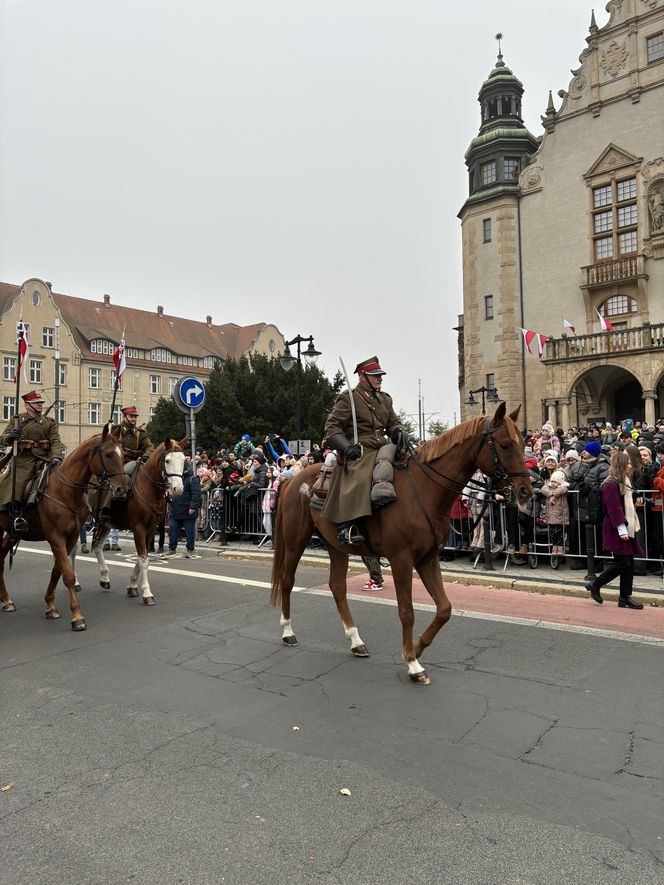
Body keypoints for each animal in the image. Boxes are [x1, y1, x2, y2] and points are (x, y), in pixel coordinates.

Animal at [0, 426, 127, 628]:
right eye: (108, 455)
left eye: (123, 455)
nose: (122, 490)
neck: (64, 490)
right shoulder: (55, 537)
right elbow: (67, 573)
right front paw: (77, 616)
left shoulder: (71, 537)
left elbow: (57, 570)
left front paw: (50, 606)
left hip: (12, 533)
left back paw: (6, 600)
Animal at [79, 438, 185, 604]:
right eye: (167, 460)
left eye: (184, 461)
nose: (178, 489)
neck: (149, 488)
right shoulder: (138, 528)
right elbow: (143, 560)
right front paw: (147, 593)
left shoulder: (151, 529)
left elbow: (142, 558)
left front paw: (133, 586)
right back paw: (75, 582)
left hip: (105, 523)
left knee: (97, 546)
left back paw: (104, 578)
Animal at [268, 404, 532, 688]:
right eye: (505, 445)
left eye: (522, 443)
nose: (526, 491)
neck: (425, 491)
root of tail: (293, 479)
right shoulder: (401, 560)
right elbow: (407, 611)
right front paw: (413, 663)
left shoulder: (428, 559)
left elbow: (444, 609)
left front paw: (416, 648)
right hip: (295, 541)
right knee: (287, 581)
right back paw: (288, 632)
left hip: (336, 547)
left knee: (338, 588)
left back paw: (356, 641)